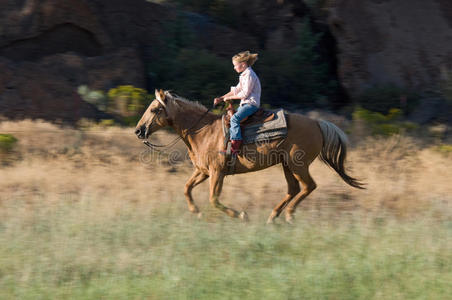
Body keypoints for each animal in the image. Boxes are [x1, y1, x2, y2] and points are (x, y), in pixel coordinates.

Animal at [134, 89, 364, 223]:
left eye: (154, 109)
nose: (138, 131)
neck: (203, 131)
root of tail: (318, 123)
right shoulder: (203, 172)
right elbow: (186, 188)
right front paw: (196, 211)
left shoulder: (217, 172)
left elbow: (214, 199)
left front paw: (241, 215)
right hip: (287, 165)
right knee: (293, 189)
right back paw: (273, 216)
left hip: (298, 165)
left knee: (308, 186)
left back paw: (289, 215)